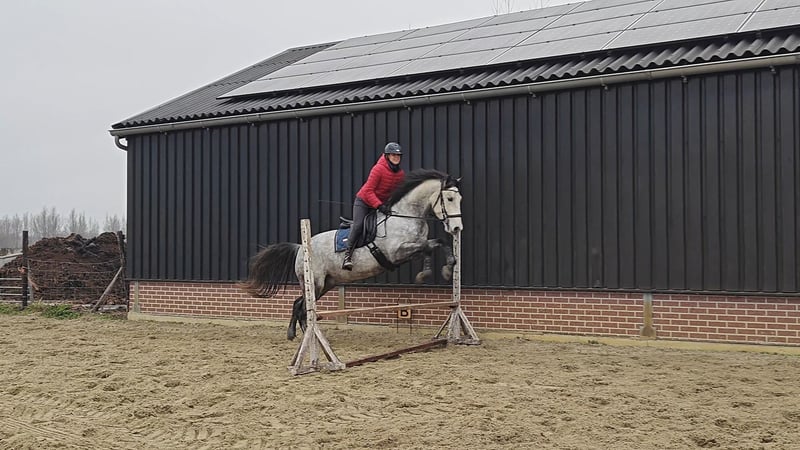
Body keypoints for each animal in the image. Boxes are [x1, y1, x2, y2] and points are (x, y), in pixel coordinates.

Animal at [241, 169, 464, 340]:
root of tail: (300, 248)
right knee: (303, 306)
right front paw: (439, 270)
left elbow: (435, 244)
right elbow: (428, 247)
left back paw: (301, 335)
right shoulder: (397, 252)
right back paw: (301, 336)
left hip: (326, 283)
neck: (405, 216)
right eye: (449, 198)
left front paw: (445, 267)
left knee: (300, 305)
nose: (457, 228)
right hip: (315, 282)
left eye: (459, 198)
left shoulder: (414, 247)